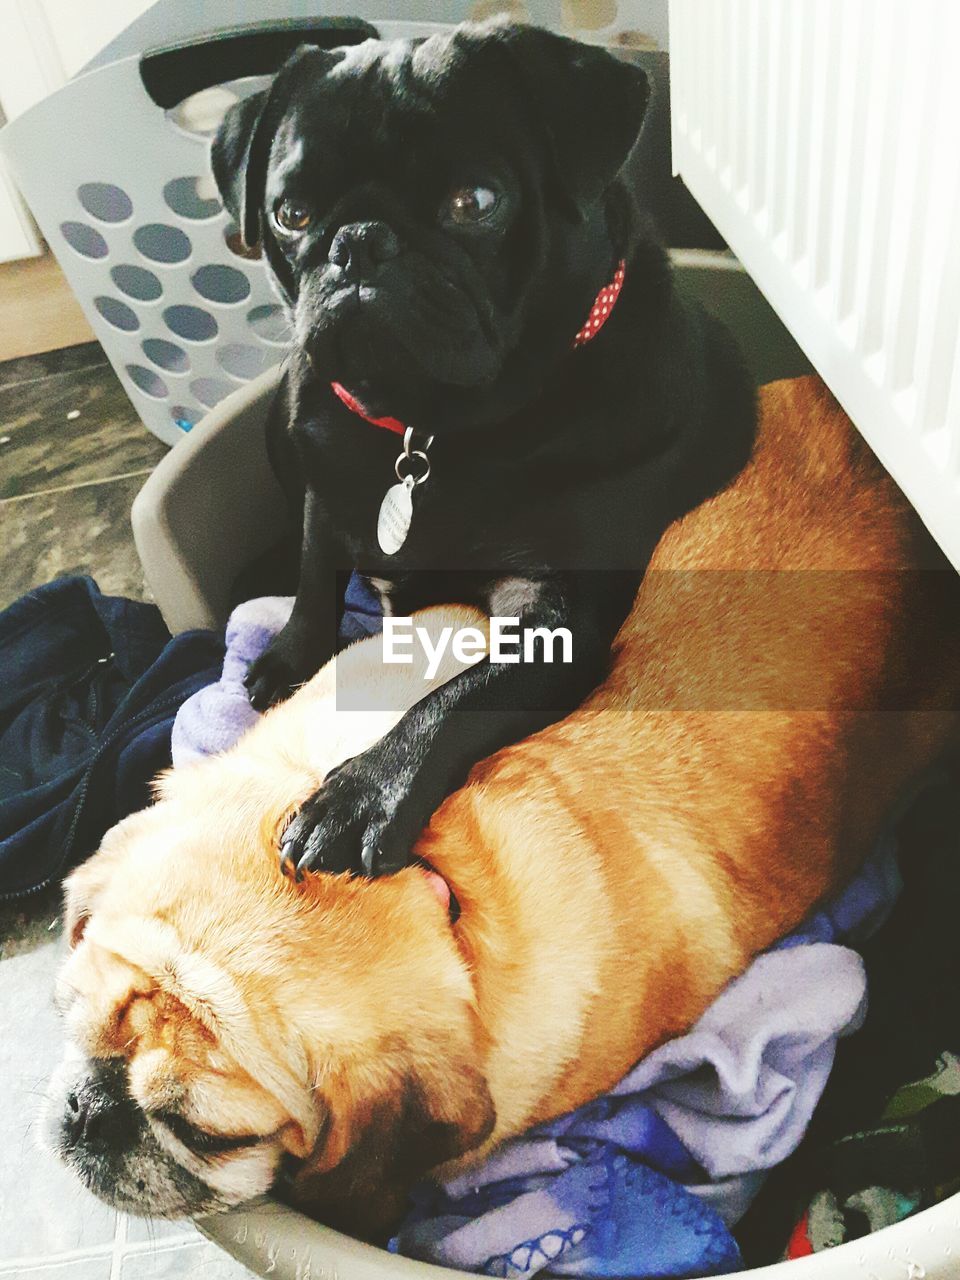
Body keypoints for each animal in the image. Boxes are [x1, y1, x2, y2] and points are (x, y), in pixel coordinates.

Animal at [212, 20, 757, 880]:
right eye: (291, 214)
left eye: (473, 203)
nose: (358, 243)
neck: (427, 429)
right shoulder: (323, 493)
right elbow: (313, 567)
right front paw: (294, 658)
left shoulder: (552, 613)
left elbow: (454, 699)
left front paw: (361, 796)